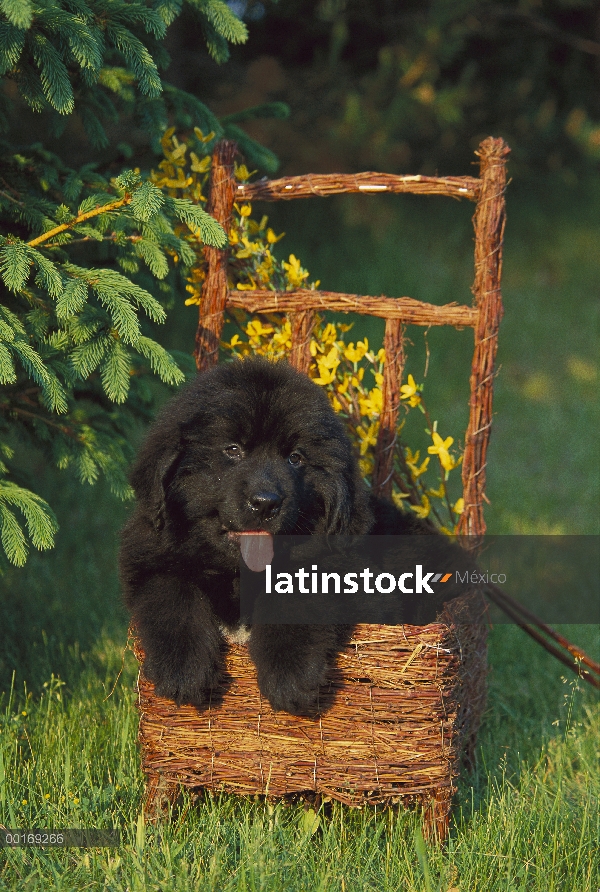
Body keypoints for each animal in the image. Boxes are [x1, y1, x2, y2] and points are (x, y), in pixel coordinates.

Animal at [119, 358, 450, 716]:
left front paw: (290, 677)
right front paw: (182, 670)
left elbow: (295, 595)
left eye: (295, 457)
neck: (240, 574)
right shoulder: (151, 556)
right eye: (233, 450)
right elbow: (170, 593)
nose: (266, 502)